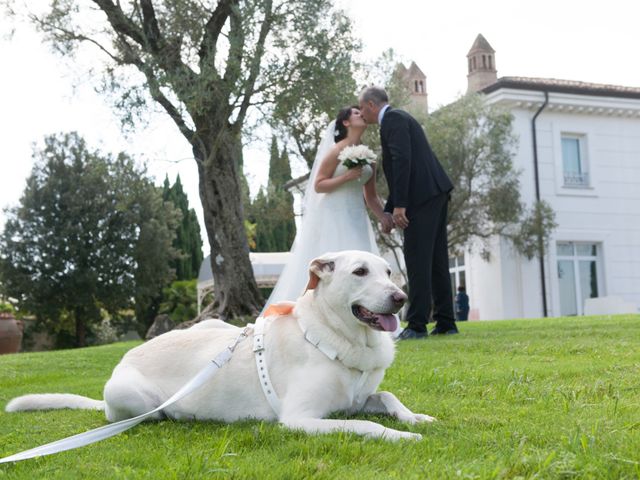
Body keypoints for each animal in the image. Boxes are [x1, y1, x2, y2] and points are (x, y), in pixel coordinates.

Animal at [6, 249, 436, 440]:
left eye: (388, 271)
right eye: (360, 271)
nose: (400, 297)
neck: (335, 335)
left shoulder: (359, 397)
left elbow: (387, 397)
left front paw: (414, 418)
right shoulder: (300, 418)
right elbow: (365, 424)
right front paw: (402, 436)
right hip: (129, 393)